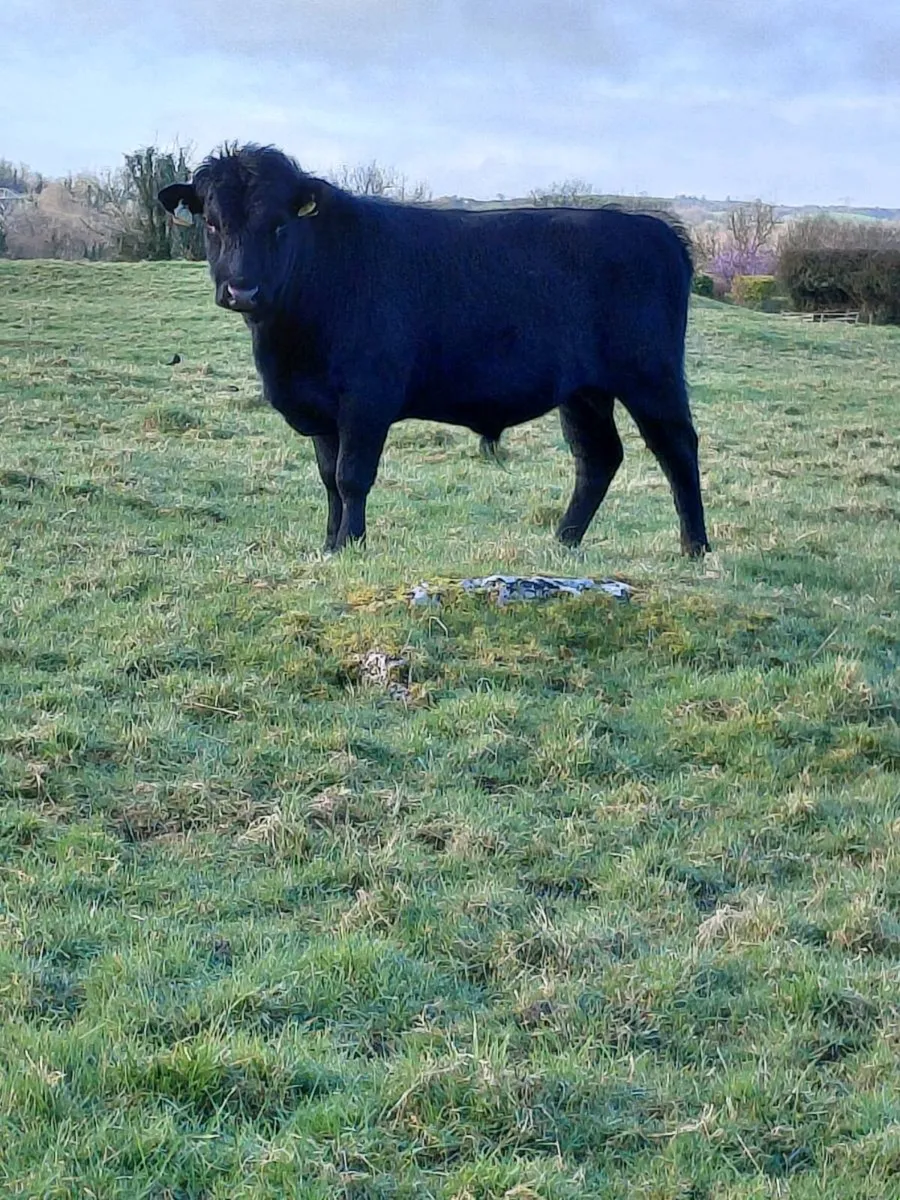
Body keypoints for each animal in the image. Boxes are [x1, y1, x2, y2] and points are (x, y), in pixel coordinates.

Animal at [158, 144, 710, 556]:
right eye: (212, 222)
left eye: (279, 224)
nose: (242, 289)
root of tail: (654, 227)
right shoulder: (322, 410)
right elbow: (328, 478)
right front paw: (331, 544)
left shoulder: (367, 399)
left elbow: (352, 476)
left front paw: (353, 545)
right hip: (585, 391)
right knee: (597, 457)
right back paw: (563, 540)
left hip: (651, 376)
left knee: (677, 449)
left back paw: (695, 547)